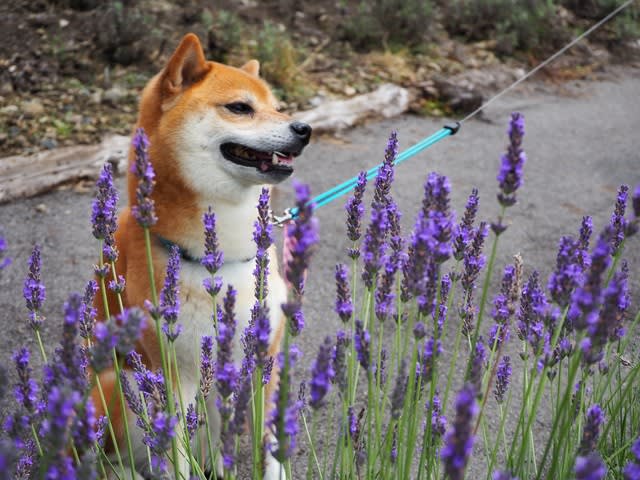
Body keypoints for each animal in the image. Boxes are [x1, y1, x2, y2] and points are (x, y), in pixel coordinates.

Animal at [95, 31, 312, 478]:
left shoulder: (264, 361)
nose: (304, 129)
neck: (222, 258)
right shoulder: (172, 377)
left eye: (275, 105)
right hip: (117, 388)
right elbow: (177, 455)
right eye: (240, 108)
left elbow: (271, 442)